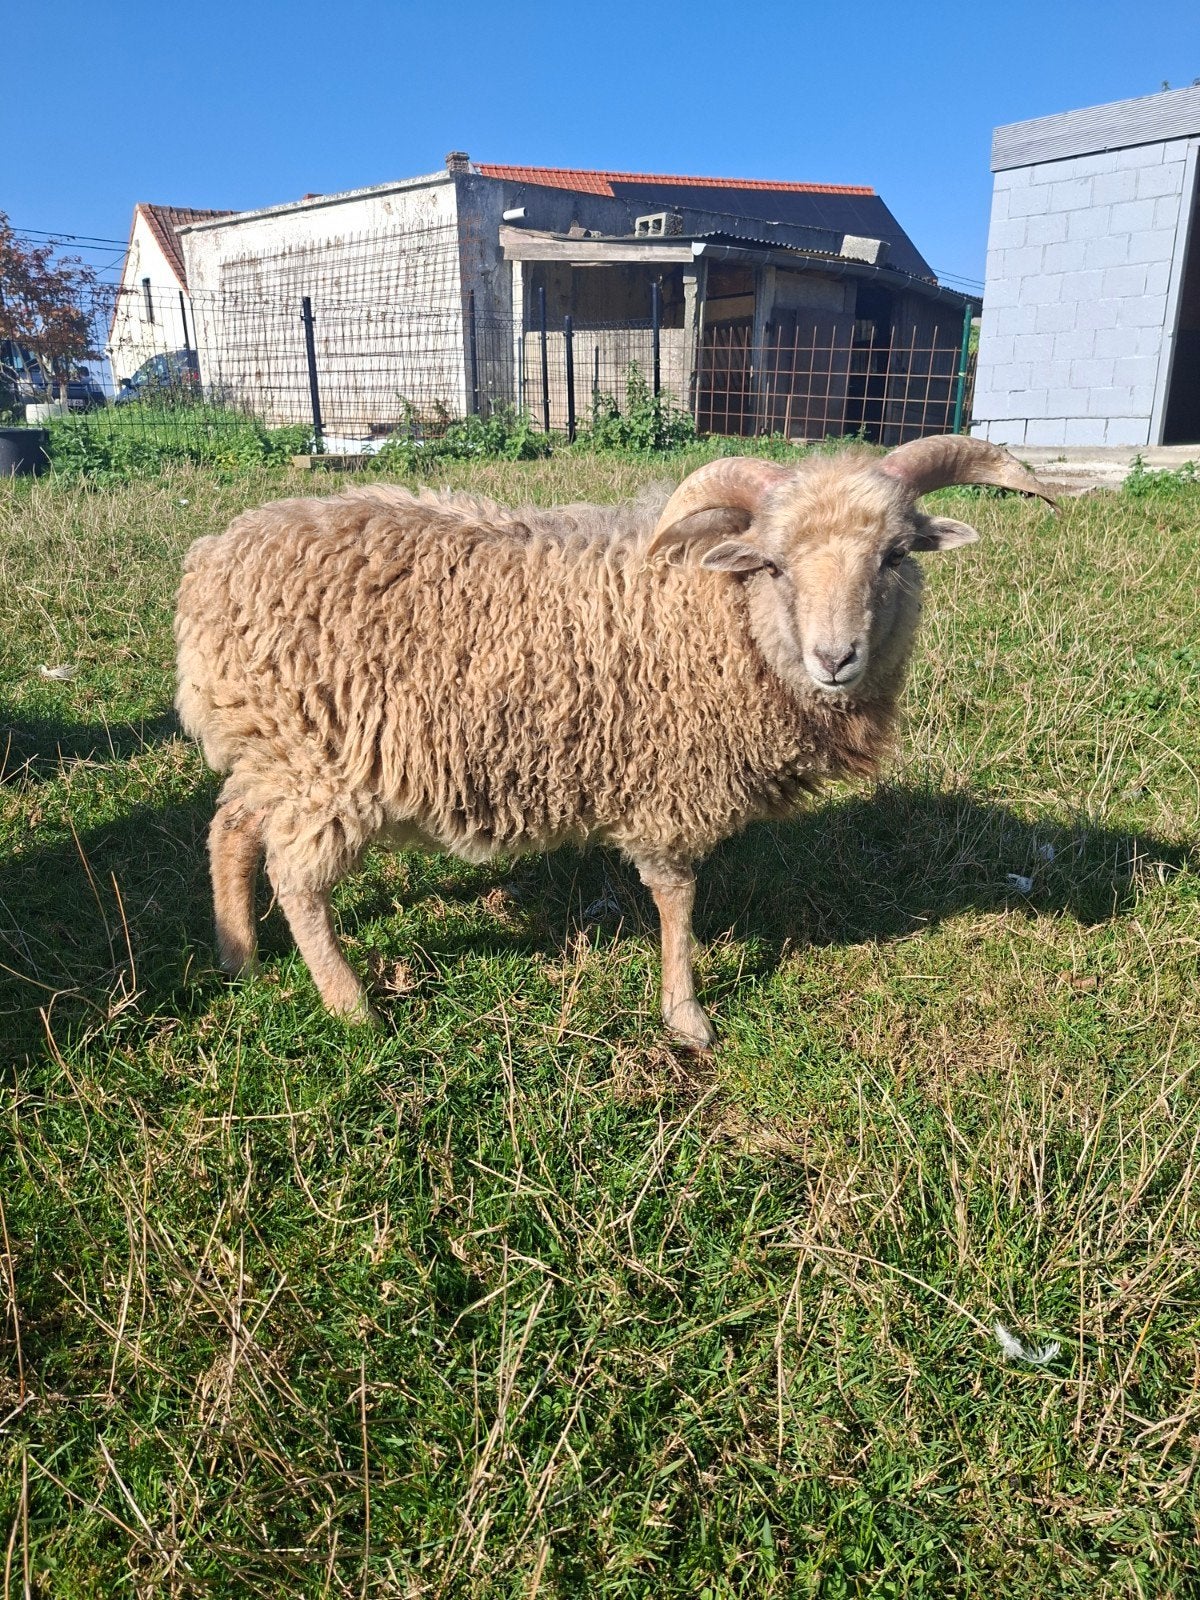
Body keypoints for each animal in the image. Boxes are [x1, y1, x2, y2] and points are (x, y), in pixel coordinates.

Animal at [174, 434, 1056, 1047]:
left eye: (897, 555)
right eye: (772, 565)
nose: (835, 658)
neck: (722, 617)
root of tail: (212, 561)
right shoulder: (671, 784)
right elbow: (675, 900)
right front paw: (687, 1016)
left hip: (270, 750)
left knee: (230, 826)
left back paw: (237, 955)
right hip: (320, 765)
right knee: (296, 878)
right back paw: (350, 1005)